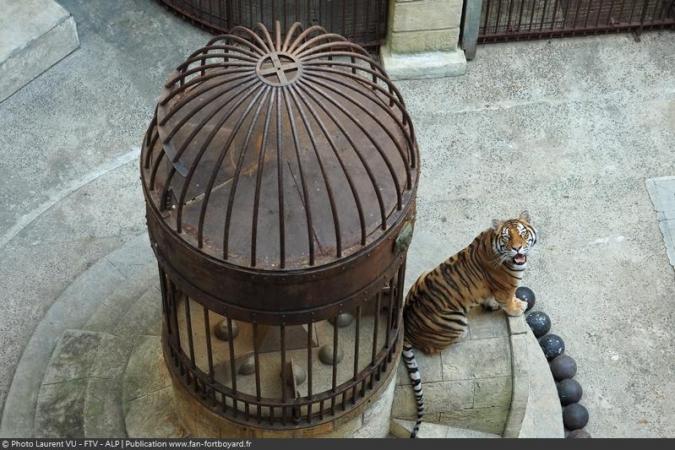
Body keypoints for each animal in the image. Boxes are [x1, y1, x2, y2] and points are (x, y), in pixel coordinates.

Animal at [402, 213, 540, 438]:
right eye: (507, 237)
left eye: (522, 233)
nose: (518, 248)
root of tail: (405, 328)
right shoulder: (506, 289)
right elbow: (509, 302)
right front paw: (518, 307)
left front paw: (492, 305)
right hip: (457, 322)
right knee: (432, 348)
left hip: (422, 276)